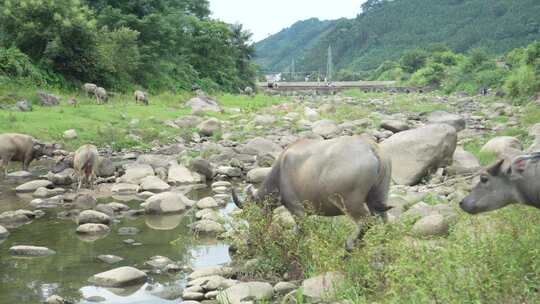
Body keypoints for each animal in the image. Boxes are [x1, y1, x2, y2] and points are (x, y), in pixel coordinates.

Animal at [232, 135, 392, 249]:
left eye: (253, 216)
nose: (250, 242)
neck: (280, 173)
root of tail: (371, 148)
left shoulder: (297, 210)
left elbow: (301, 232)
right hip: (379, 196)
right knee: (384, 220)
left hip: (351, 203)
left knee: (366, 222)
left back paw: (349, 246)